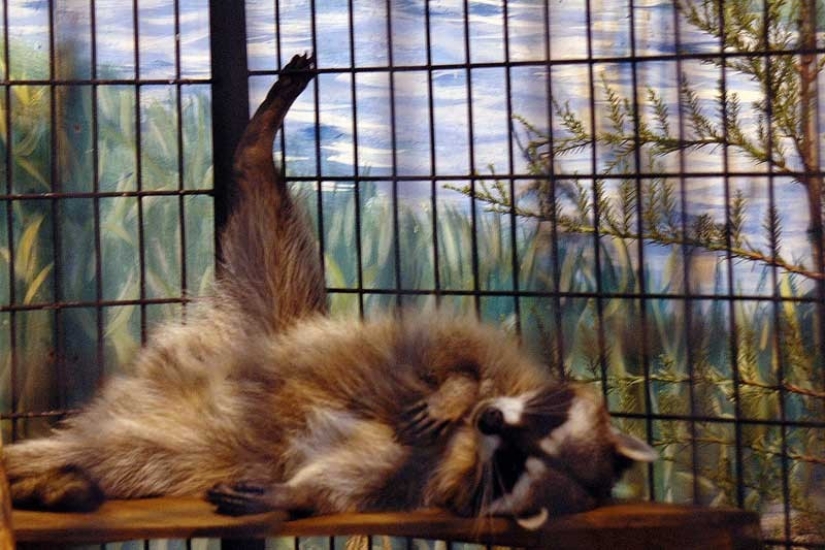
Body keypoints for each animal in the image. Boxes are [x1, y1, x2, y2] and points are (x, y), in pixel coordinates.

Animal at [3, 53, 656, 529]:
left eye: (522, 465)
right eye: (543, 421)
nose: (489, 418)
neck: (469, 439)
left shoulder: (419, 479)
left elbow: (353, 478)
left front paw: (292, 496)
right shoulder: (492, 359)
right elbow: (453, 344)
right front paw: (457, 389)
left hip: (168, 448)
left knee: (108, 458)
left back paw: (43, 480)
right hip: (270, 310)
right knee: (268, 226)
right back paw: (256, 143)